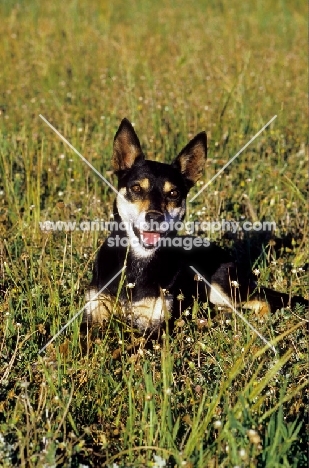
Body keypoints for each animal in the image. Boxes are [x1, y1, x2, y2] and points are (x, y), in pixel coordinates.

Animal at [81, 119, 306, 334]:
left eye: (173, 193)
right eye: (136, 188)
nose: (155, 217)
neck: (138, 265)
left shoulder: (156, 326)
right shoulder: (94, 313)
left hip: (222, 284)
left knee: (263, 301)